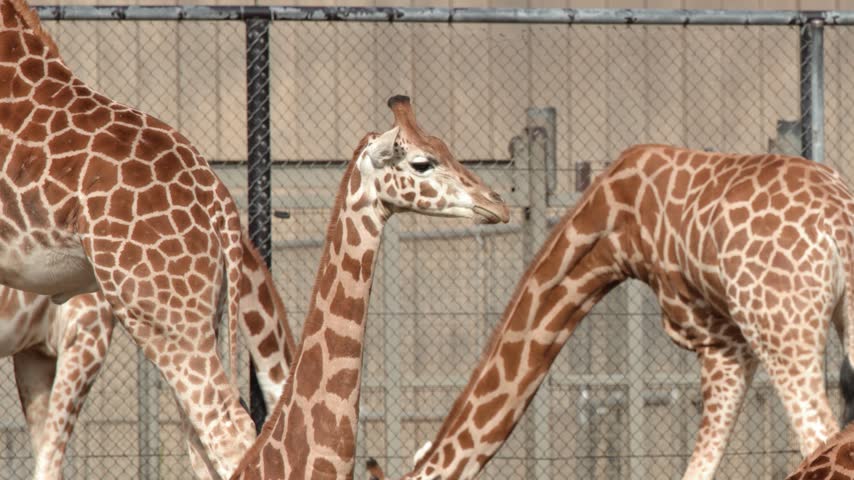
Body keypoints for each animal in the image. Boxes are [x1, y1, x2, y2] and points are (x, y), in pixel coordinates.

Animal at [367, 144, 854, 480]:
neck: (614, 226)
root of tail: (837, 223)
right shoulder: (730, 342)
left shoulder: (716, 337)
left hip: (780, 323)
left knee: (818, 433)